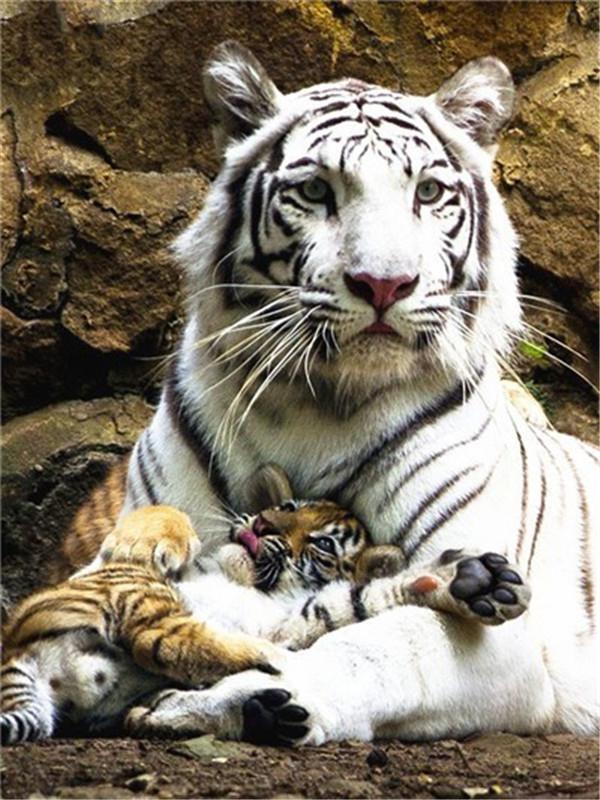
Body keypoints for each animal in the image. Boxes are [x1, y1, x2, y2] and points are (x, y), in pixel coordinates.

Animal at [2, 464, 530, 745]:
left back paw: (263, 711)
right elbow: (163, 515)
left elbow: (353, 599)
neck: (245, 583)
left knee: (172, 650)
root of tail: (21, 653)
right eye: (290, 507)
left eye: (321, 543)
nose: (263, 523)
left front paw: (471, 583)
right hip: (137, 593)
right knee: (168, 642)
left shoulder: (288, 620)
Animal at [55, 42, 598, 746]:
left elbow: (372, 649)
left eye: (428, 192)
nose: (385, 284)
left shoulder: (505, 641)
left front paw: (227, 699)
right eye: (316, 190)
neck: (319, 405)